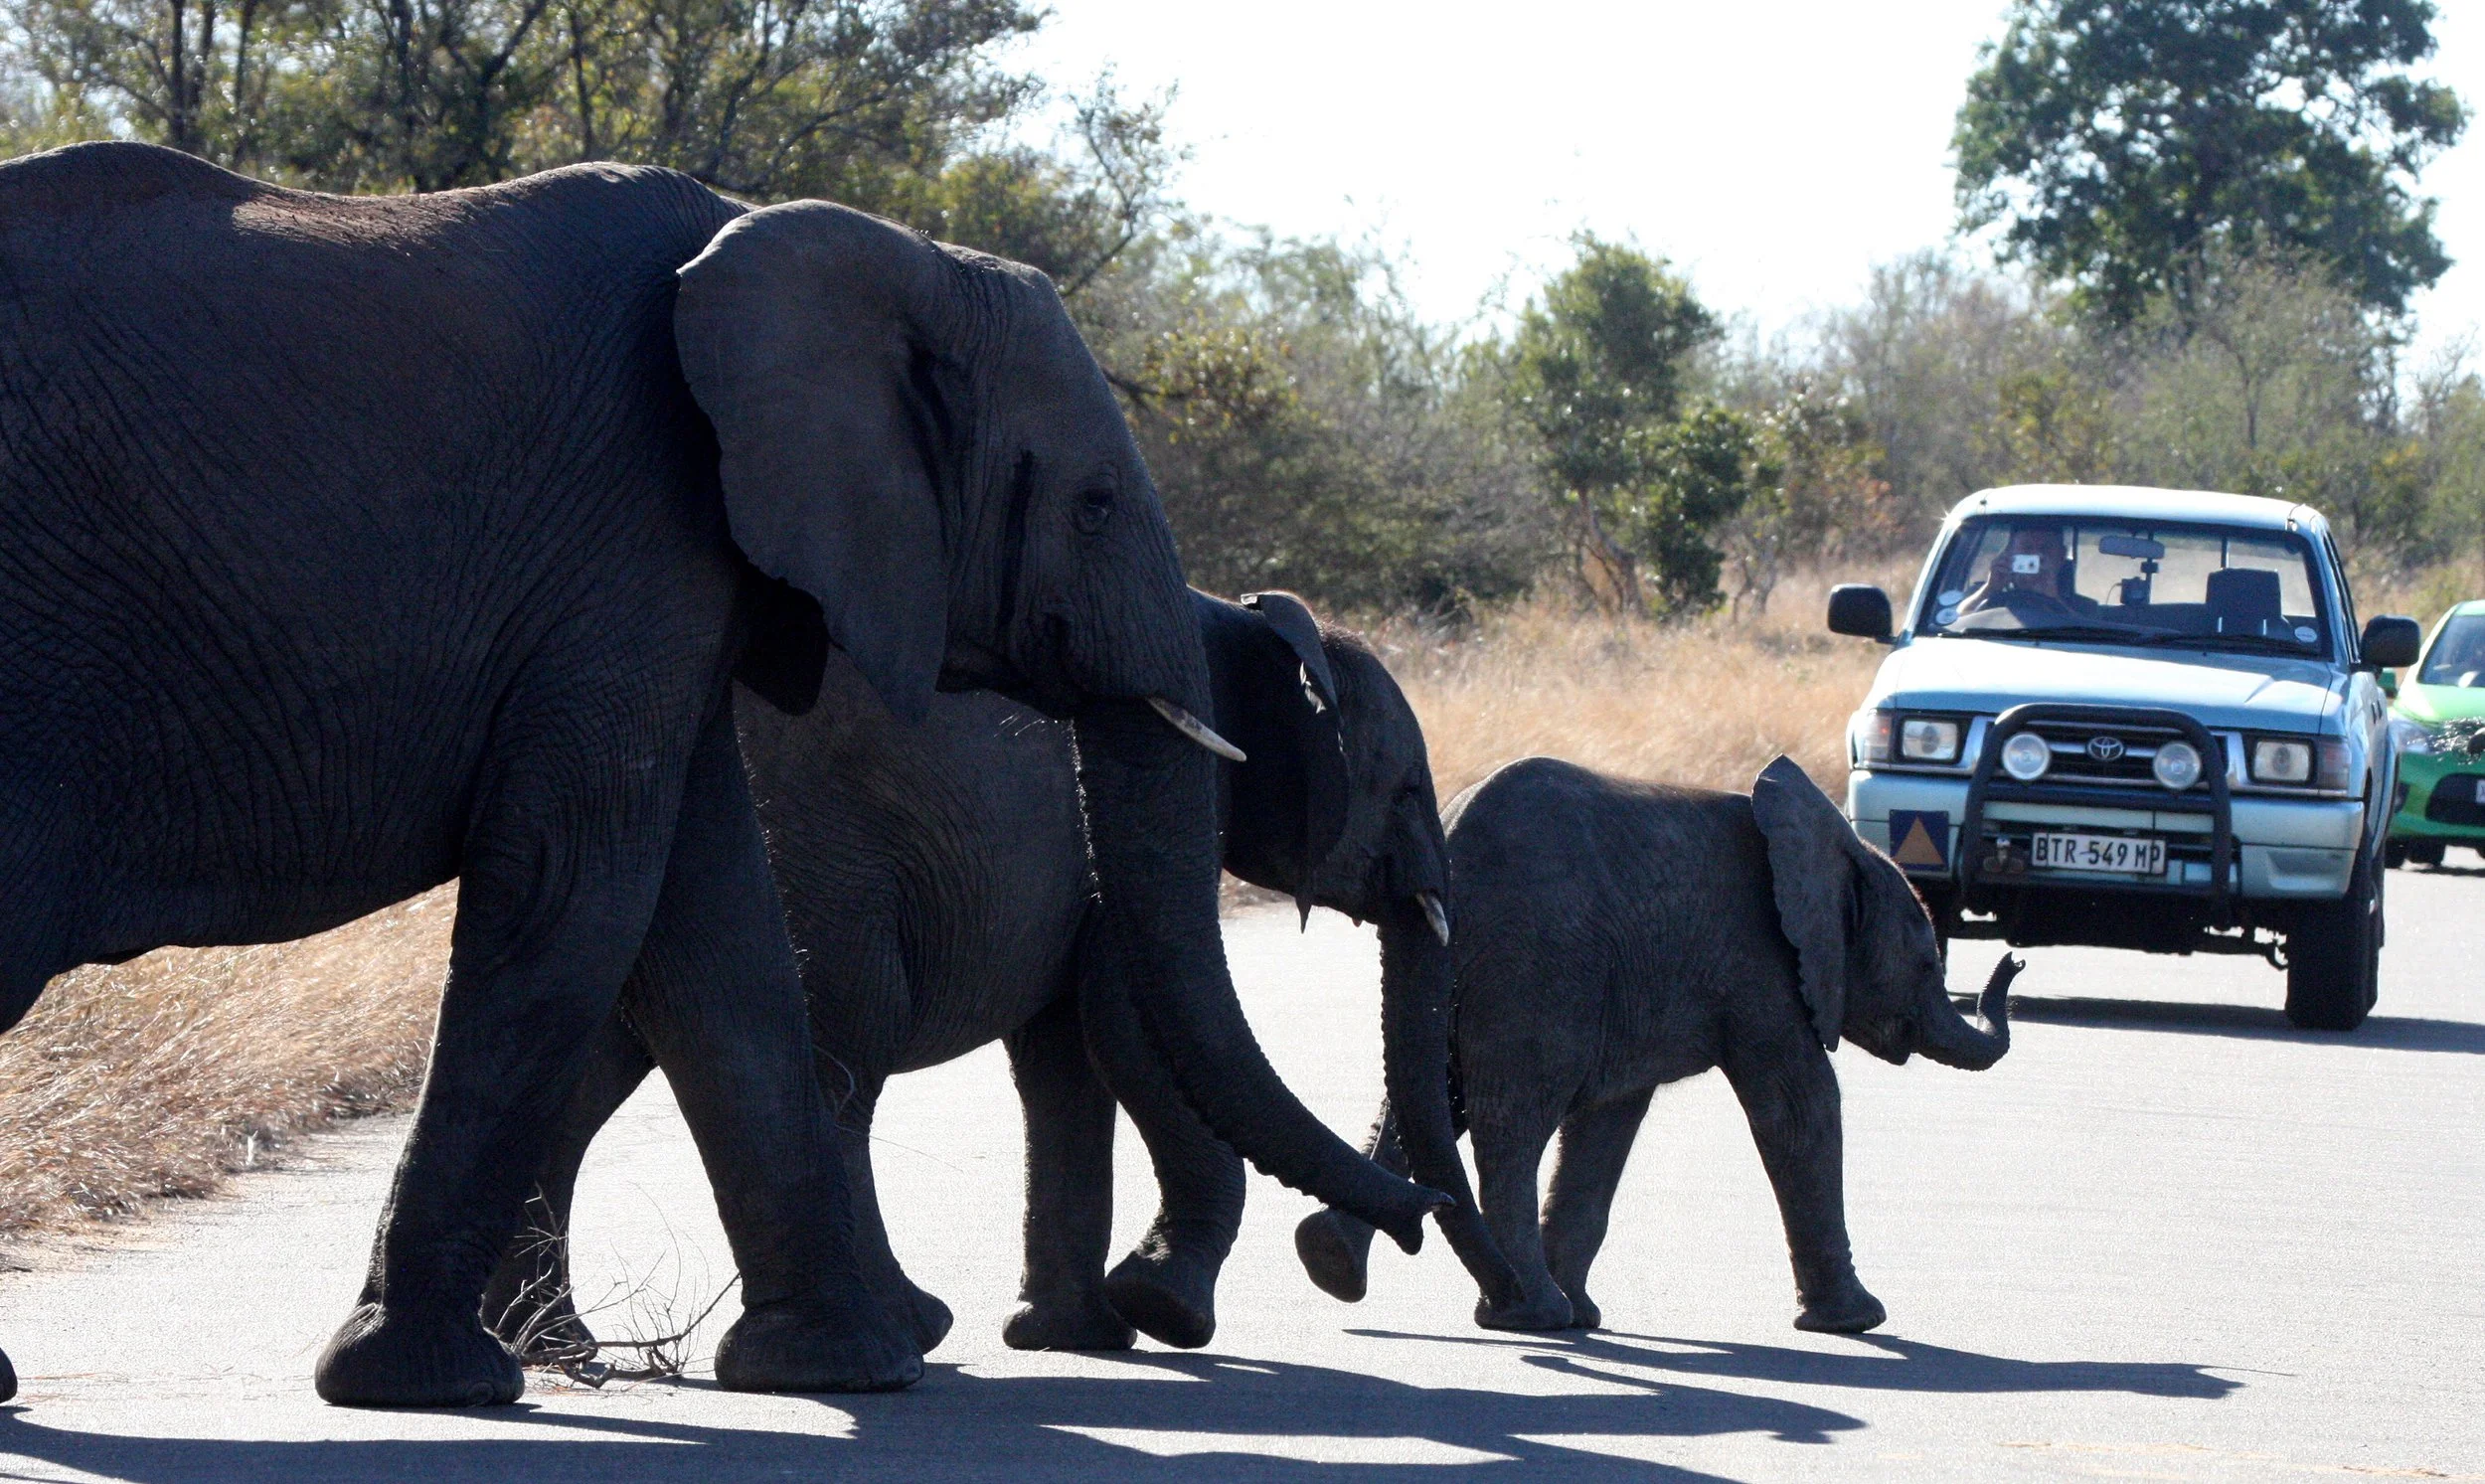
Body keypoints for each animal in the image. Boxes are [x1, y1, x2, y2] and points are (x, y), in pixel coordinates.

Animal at [482, 587, 1515, 1359]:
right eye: (1406, 792)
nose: (1421, 1218)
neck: (1237, 616)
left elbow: (1067, 1060)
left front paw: (1075, 1335)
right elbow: (1132, 1029)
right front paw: (1163, 1311)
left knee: (590, 1073)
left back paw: (547, 1343)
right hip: (821, 857)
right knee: (840, 1057)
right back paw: (907, 1329)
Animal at [1294, 755, 2017, 1336]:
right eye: (1926, 964)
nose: (2013, 961)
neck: (1839, 851)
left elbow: (1608, 1123)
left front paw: (1587, 1317)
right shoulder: (1761, 967)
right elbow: (1800, 1107)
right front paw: (1858, 1323)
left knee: (1426, 1103)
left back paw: (1334, 1263)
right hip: (1534, 969)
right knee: (1510, 1123)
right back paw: (1532, 1314)